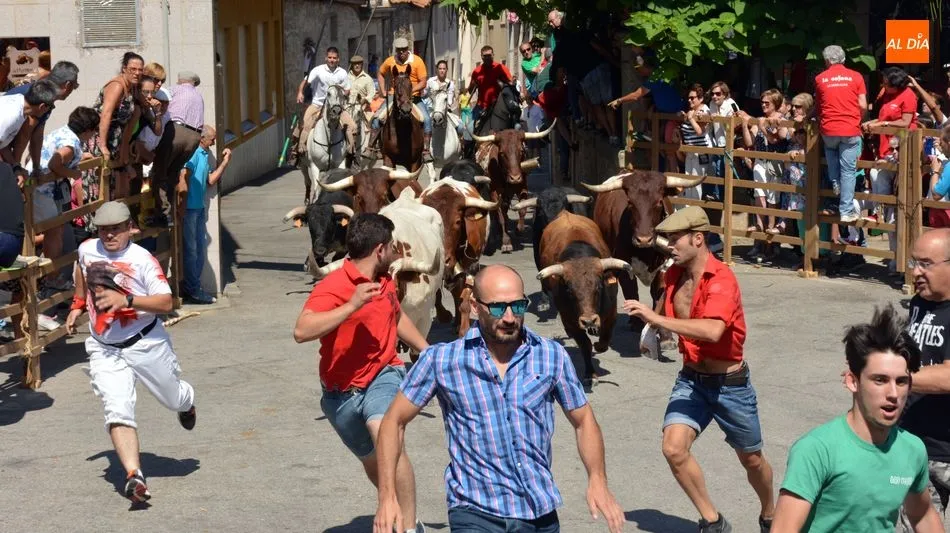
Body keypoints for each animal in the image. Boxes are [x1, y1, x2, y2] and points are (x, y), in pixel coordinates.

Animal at [418, 178, 498, 338]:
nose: (445, 259)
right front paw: (444, 315)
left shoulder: (470, 267)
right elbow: (437, 294)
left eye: (458, 221)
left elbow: (464, 297)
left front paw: (464, 329)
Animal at [470, 122, 552, 253]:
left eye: (521, 151)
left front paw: (519, 229)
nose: (515, 178)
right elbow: (500, 216)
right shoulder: (495, 193)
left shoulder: (522, 187)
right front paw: (506, 242)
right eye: (502, 153)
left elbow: (522, 209)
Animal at [536, 211, 633, 387]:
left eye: (599, 287)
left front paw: (598, 344)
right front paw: (590, 374)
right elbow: (585, 344)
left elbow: (605, 340)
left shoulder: (611, 311)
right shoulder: (570, 320)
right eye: (569, 290)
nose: (588, 320)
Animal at [582, 170, 703, 328]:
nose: (644, 239)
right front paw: (637, 322)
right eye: (630, 203)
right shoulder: (624, 266)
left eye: (659, 201)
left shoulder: (664, 266)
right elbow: (631, 292)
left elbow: (658, 293)